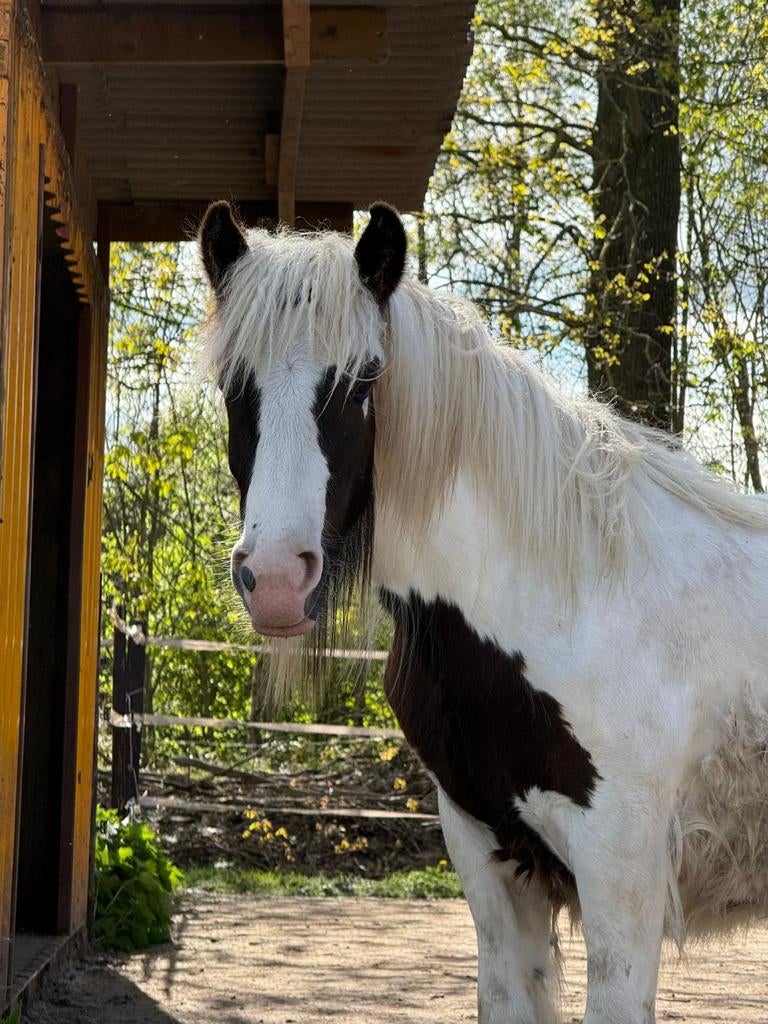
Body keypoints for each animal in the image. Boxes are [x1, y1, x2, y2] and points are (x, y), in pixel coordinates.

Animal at [197, 200, 768, 1024]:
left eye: (363, 380)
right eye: (232, 383)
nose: (274, 578)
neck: (575, 600)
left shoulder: (621, 872)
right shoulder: (491, 860)